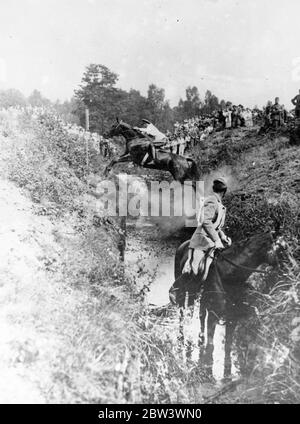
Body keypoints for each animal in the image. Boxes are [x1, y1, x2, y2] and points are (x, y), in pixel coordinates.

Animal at [169, 230, 284, 380]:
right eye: (278, 248)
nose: (281, 269)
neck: (229, 275)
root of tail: (183, 244)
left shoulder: (232, 317)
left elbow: (228, 345)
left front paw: (228, 375)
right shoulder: (213, 315)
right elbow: (211, 346)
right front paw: (207, 369)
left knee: (201, 315)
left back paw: (200, 337)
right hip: (187, 294)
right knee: (183, 313)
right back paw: (182, 336)